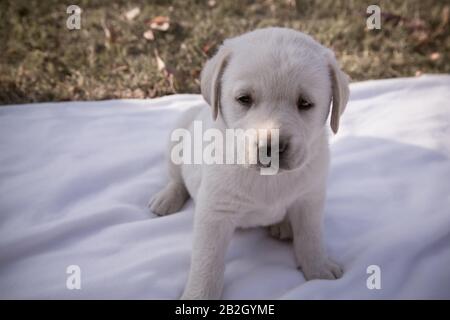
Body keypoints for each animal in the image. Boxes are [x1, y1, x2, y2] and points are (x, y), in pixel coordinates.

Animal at [149, 27, 350, 300]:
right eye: (244, 99)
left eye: (305, 103)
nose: (272, 147)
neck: (269, 178)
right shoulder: (214, 212)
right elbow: (207, 262)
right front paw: (198, 296)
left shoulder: (310, 199)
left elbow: (311, 237)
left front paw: (318, 270)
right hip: (177, 135)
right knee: (176, 178)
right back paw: (166, 198)